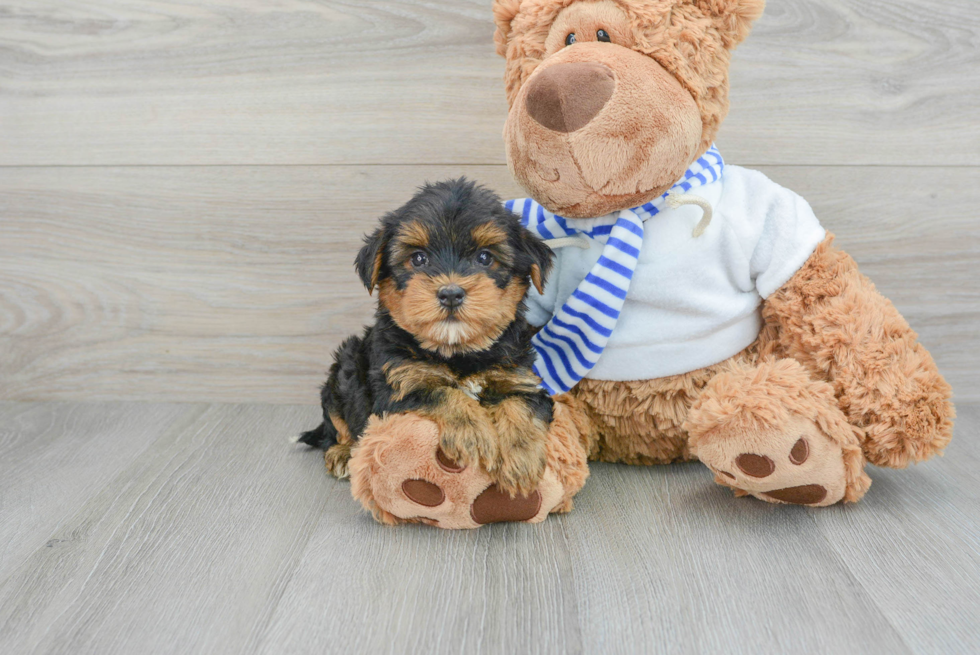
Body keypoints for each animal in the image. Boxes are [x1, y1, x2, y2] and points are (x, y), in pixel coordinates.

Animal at [298, 179, 556, 498]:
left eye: (485, 257)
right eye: (418, 258)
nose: (450, 293)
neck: (458, 351)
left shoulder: (519, 378)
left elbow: (522, 405)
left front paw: (521, 459)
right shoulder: (400, 386)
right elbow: (441, 392)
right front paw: (475, 433)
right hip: (345, 366)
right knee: (336, 424)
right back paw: (342, 453)